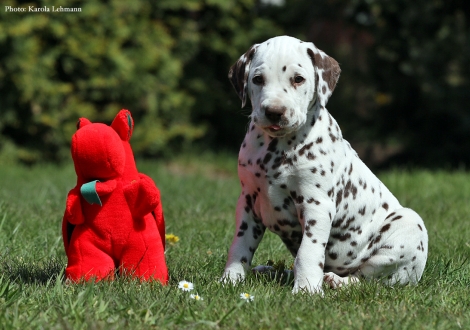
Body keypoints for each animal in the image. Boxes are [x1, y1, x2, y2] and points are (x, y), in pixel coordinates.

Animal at [222, 35, 428, 294]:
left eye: (298, 79)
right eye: (258, 79)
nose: (274, 112)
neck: (276, 148)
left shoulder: (316, 205)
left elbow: (308, 252)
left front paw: (307, 290)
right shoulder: (248, 201)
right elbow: (240, 246)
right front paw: (230, 279)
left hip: (409, 226)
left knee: (367, 279)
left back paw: (336, 281)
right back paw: (271, 271)